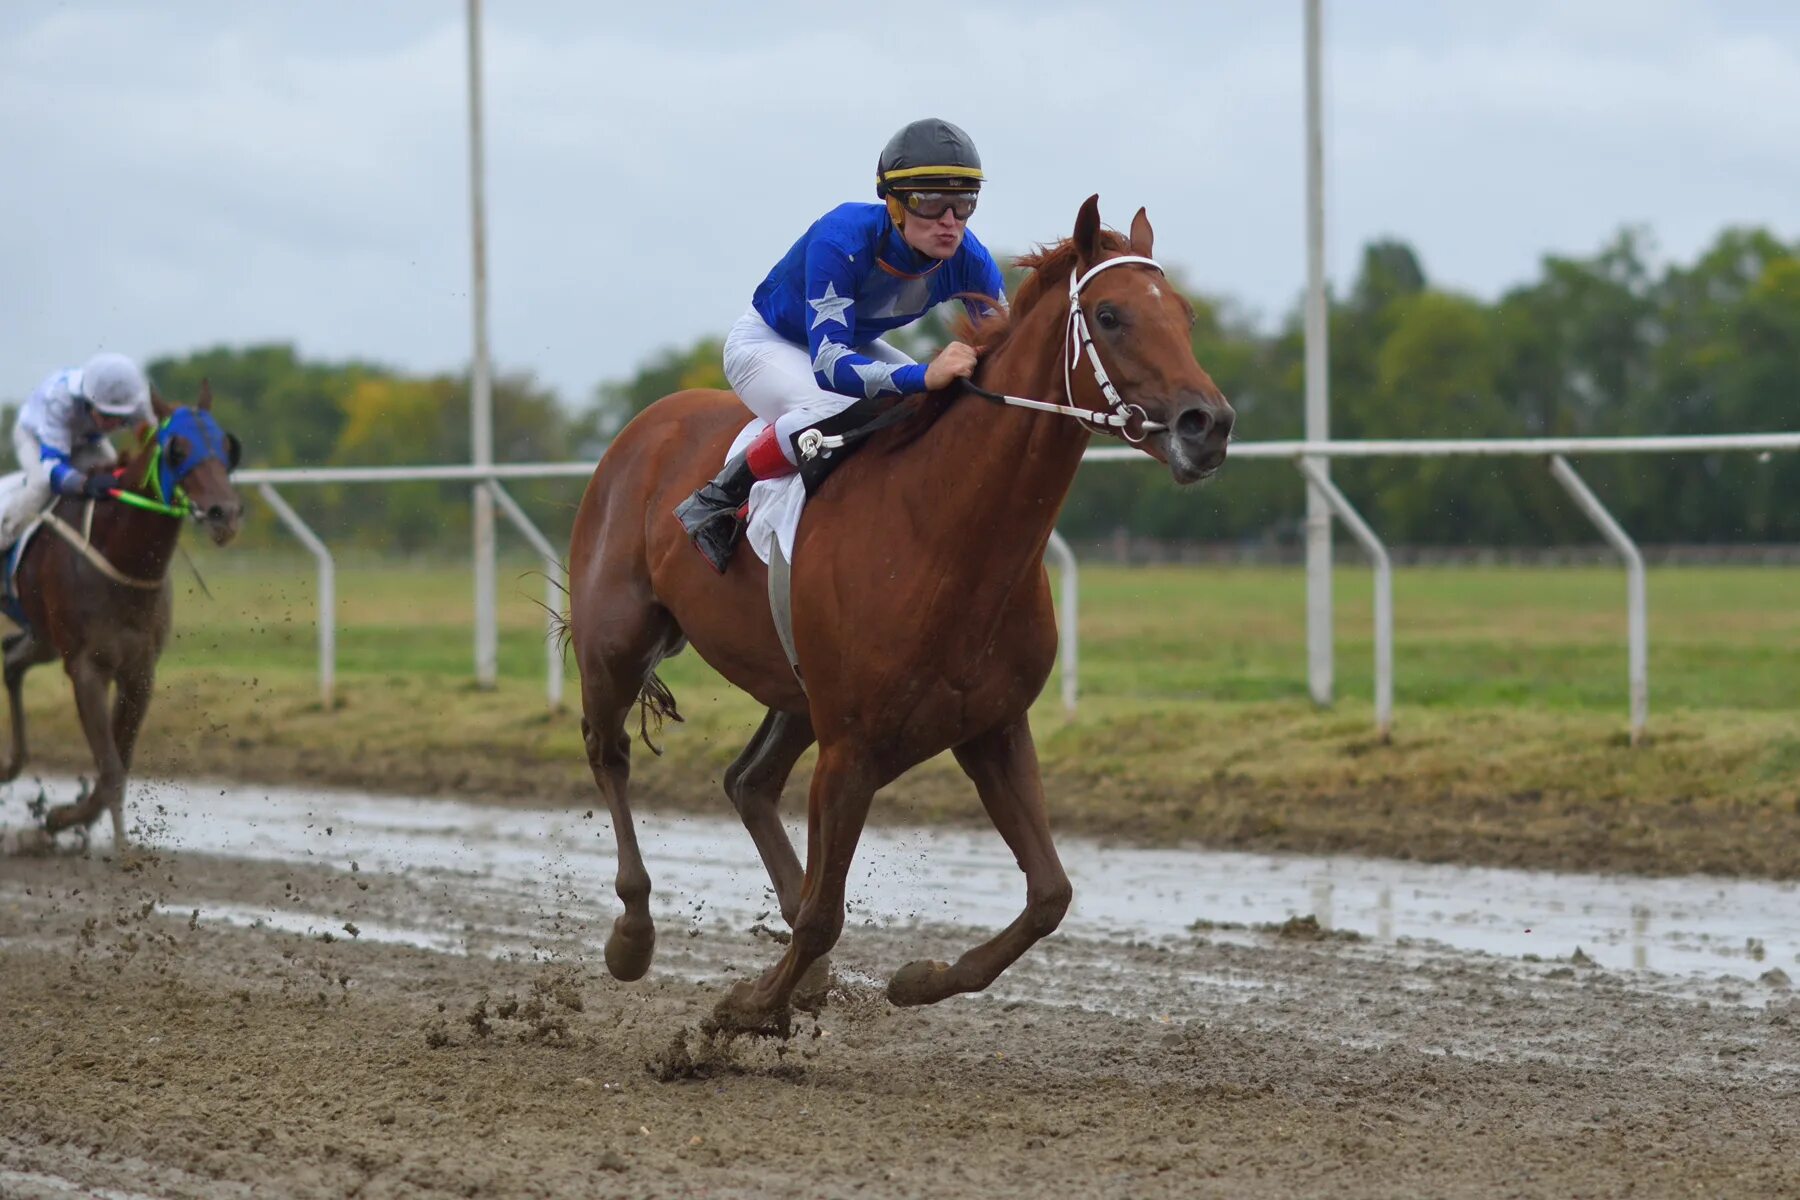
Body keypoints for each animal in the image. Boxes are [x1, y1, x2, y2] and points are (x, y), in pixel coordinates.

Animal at [2, 385, 243, 852]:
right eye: (177, 449)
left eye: (226, 446)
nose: (224, 513)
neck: (119, 556)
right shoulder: (86, 668)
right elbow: (111, 767)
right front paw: (117, 846)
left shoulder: (139, 669)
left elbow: (118, 762)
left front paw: (61, 818)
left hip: (42, 639)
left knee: (11, 664)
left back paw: (12, 766)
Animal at [568, 197, 1231, 1036]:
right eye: (1110, 316)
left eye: (1184, 314)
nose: (1209, 424)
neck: (944, 533)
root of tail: (644, 426)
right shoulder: (851, 747)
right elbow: (825, 912)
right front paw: (749, 1006)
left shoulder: (991, 724)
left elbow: (1050, 894)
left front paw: (917, 979)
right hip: (615, 640)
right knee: (610, 752)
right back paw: (633, 933)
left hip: (795, 692)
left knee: (748, 782)